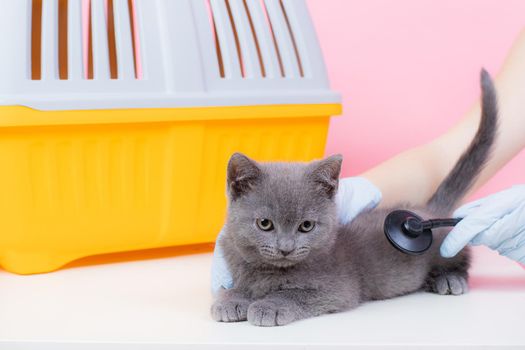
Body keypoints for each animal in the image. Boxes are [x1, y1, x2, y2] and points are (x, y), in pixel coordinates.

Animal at [211, 69, 498, 326]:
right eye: (265, 224)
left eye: (306, 226)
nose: (286, 248)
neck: (267, 271)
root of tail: (426, 210)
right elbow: (235, 287)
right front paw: (231, 299)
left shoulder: (338, 288)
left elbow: (294, 294)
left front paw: (269, 305)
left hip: (446, 243)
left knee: (462, 257)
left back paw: (449, 279)